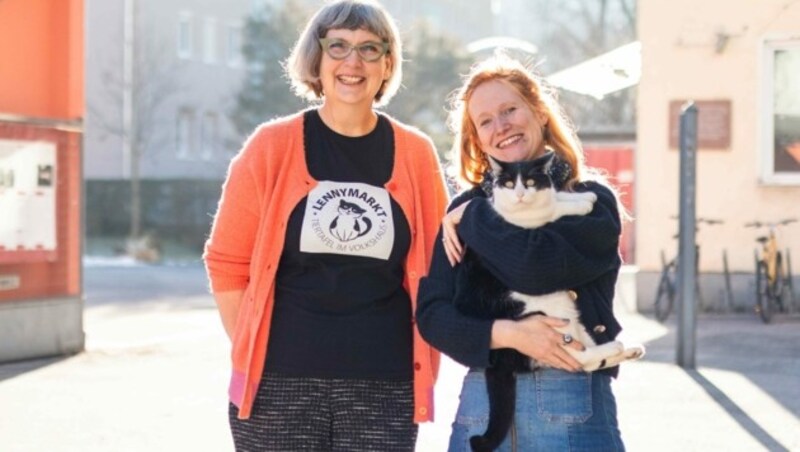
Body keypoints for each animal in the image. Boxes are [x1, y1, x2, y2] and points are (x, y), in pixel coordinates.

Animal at [456, 152, 644, 452]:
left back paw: (627, 350)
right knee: (579, 358)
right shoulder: (523, 224)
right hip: (553, 306)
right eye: (509, 184)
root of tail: (499, 358)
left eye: (531, 182)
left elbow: (557, 197)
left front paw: (581, 196)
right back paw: (616, 347)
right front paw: (581, 203)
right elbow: (553, 209)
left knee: (586, 360)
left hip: (571, 314)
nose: (520, 194)